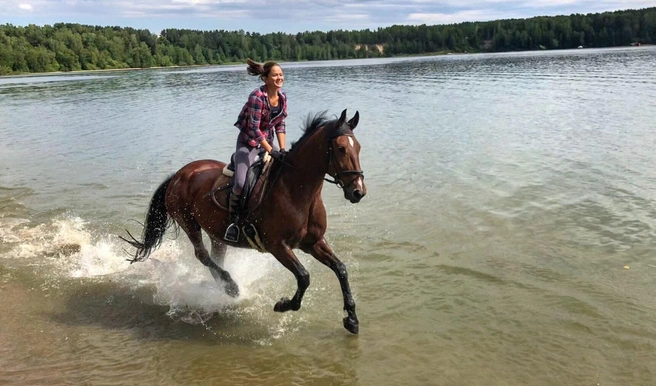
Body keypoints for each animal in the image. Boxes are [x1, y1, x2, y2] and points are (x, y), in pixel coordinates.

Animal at [122, 109, 366, 334]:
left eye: (359, 147)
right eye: (341, 148)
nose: (358, 192)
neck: (297, 190)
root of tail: (177, 175)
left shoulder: (313, 242)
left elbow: (341, 269)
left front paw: (352, 319)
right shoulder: (278, 246)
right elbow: (304, 277)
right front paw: (283, 305)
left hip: (215, 232)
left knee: (215, 257)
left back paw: (223, 287)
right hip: (188, 222)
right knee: (202, 255)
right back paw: (231, 287)